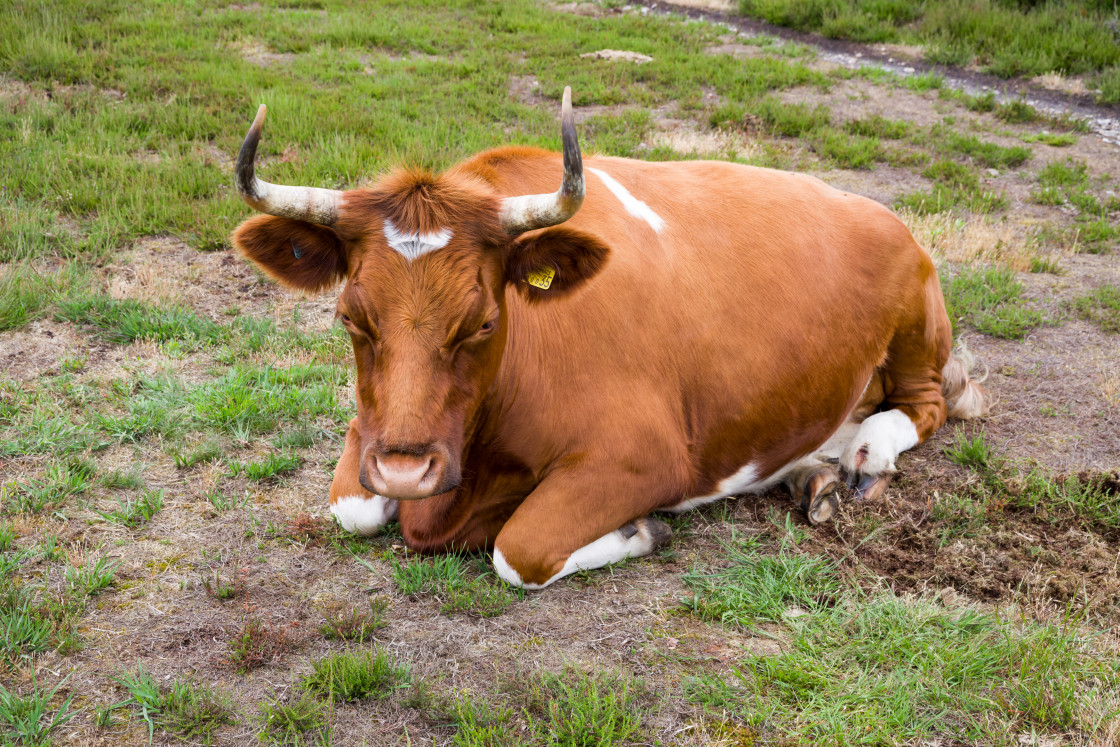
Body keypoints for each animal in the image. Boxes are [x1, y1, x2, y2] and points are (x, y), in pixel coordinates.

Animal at [231, 87, 985, 591]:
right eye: (349, 318)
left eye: (484, 321)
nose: (404, 472)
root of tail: (873, 208)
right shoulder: (371, 431)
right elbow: (352, 507)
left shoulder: (643, 458)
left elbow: (518, 550)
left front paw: (641, 529)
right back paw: (812, 472)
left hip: (916, 325)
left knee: (925, 404)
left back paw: (863, 452)